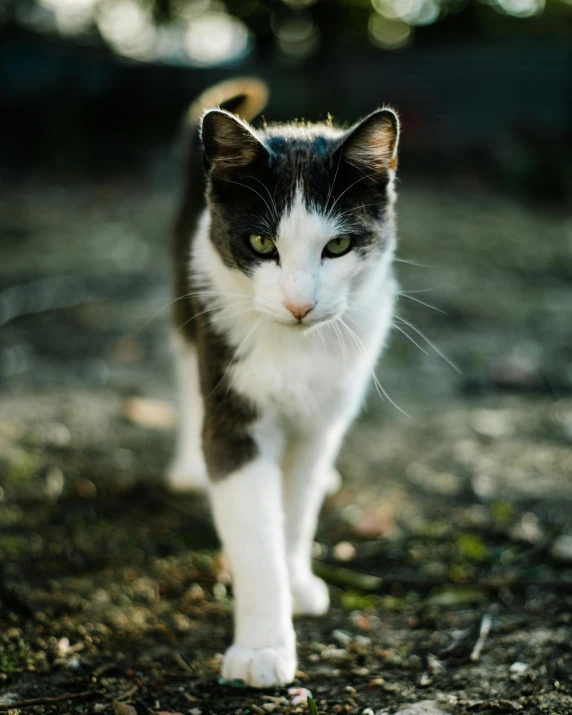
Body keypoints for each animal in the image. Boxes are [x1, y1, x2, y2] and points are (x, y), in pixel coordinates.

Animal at [165, 78, 398, 688]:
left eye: (337, 247)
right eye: (261, 244)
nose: (299, 305)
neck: (295, 348)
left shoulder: (320, 421)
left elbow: (295, 506)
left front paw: (296, 582)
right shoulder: (234, 416)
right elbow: (255, 529)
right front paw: (262, 647)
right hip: (187, 291)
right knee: (184, 366)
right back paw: (186, 465)